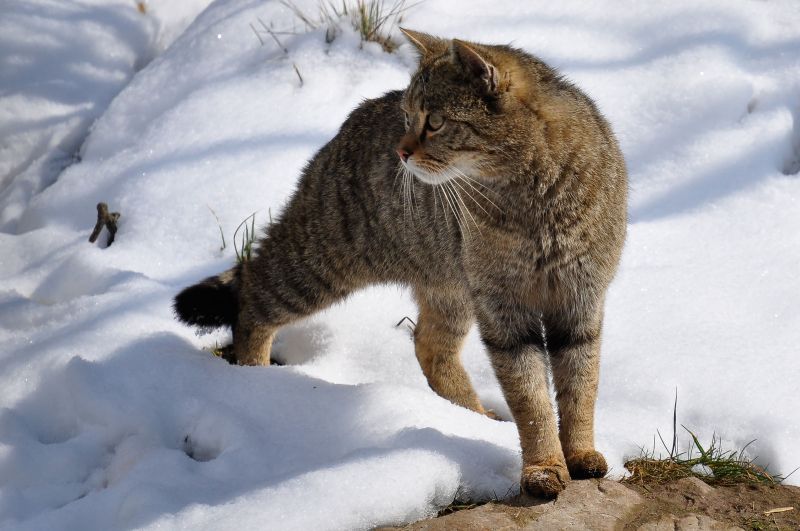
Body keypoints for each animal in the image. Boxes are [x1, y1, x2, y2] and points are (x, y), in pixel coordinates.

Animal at [173, 29, 624, 498]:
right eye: (409, 117)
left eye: (436, 121)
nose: (401, 151)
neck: (532, 201)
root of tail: (348, 124)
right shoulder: (504, 312)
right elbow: (532, 402)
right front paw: (543, 467)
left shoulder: (582, 301)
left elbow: (581, 387)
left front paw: (580, 453)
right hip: (321, 261)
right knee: (253, 293)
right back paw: (255, 385)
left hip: (449, 287)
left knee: (430, 347)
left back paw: (472, 417)